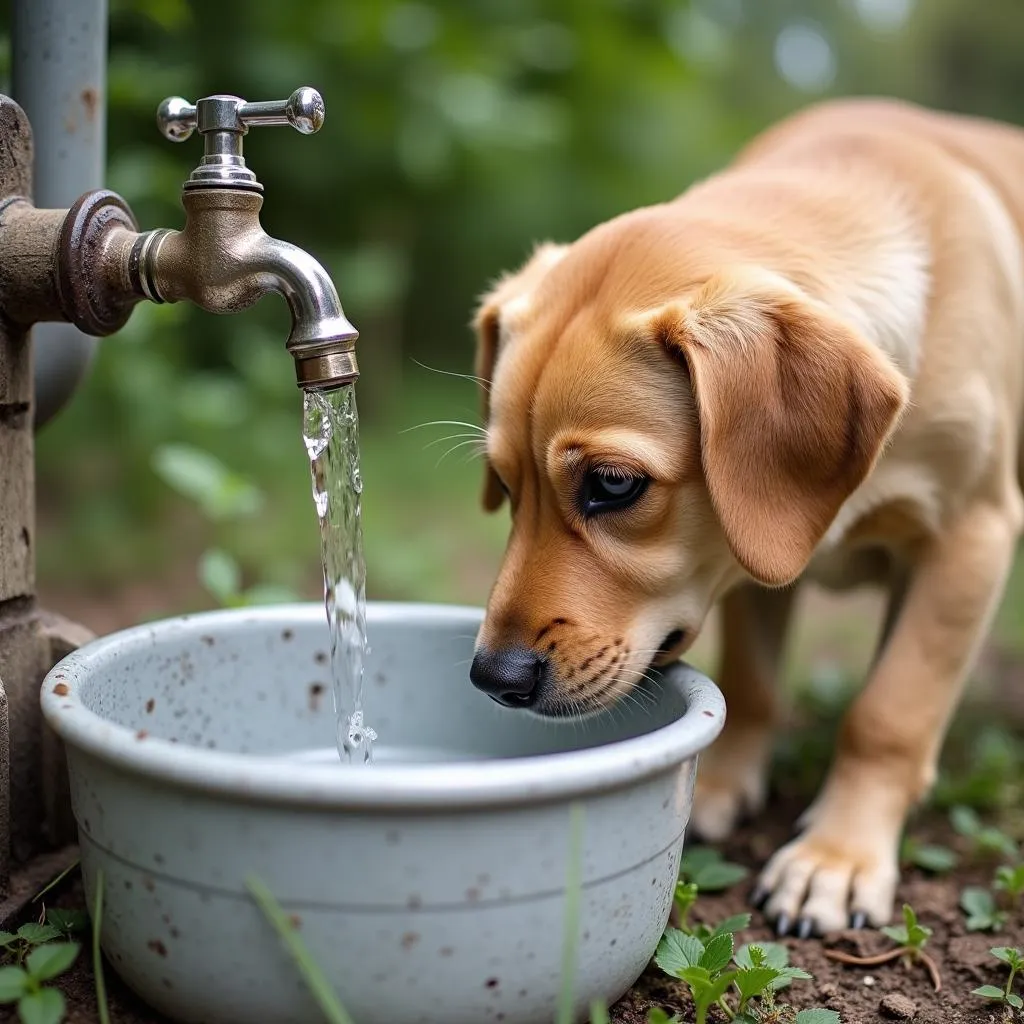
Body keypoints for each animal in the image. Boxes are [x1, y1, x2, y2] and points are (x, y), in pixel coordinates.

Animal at [468, 96, 1024, 937]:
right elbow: (754, 685)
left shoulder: (971, 538)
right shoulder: (760, 556)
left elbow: (889, 713)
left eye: (613, 484)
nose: (492, 678)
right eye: (504, 482)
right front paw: (725, 787)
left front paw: (837, 856)